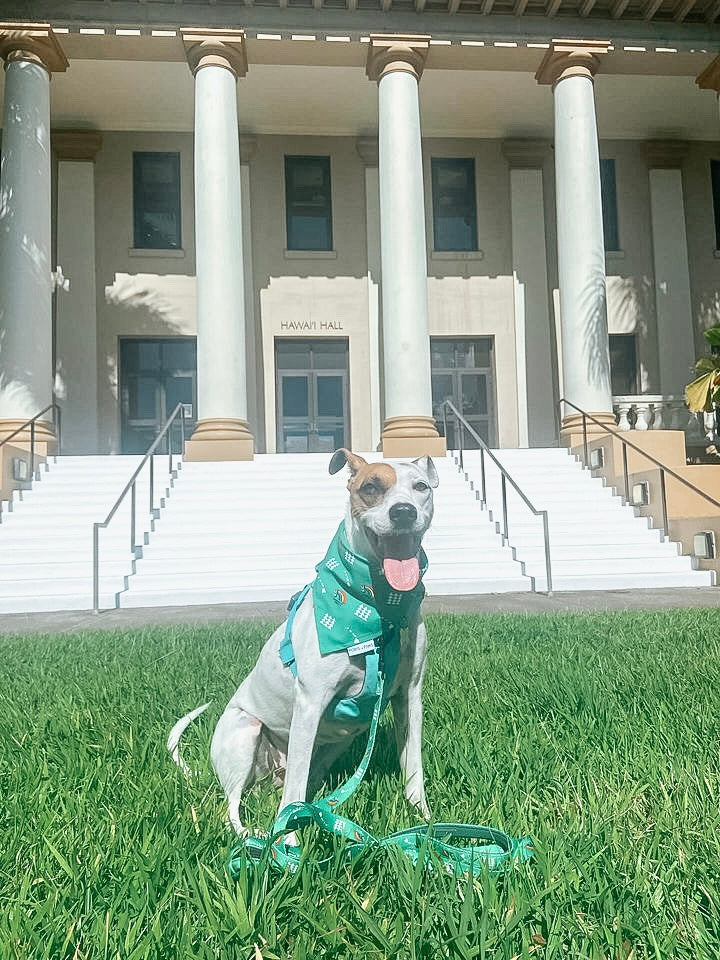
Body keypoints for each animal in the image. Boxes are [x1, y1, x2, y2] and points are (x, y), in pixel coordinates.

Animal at [169, 446, 438, 836]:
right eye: (370, 487)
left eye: (420, 487)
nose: (403, 512)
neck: (377, 607)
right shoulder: (310, 702)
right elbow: (295, 789)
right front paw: (289, 838)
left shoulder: (409, 695)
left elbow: (413, 763)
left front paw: (424, 821)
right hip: (246, 732)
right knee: (236, 804)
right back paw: (256, 832)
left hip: (334, 745)